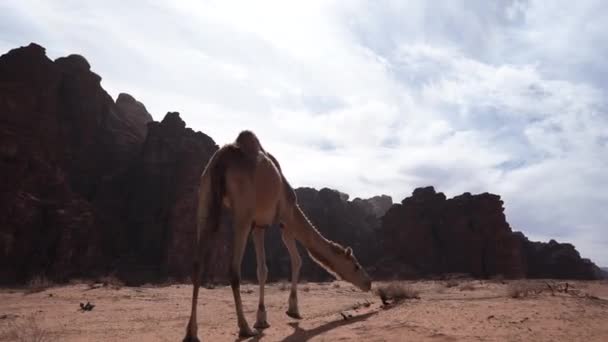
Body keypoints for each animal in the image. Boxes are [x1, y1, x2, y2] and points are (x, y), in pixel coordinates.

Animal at [182, 130, 370, 340]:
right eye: (355, 266)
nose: (369, 283)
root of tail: (222, 159)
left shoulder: (259, 225)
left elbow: (262, 270)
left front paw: (262, 319)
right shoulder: (285, 218)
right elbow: (297, 260)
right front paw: (293, 310)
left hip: (205, 200)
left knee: (197, 264)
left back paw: (191, 332)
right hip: (242, 213)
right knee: (233, 269)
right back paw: (244, 328)